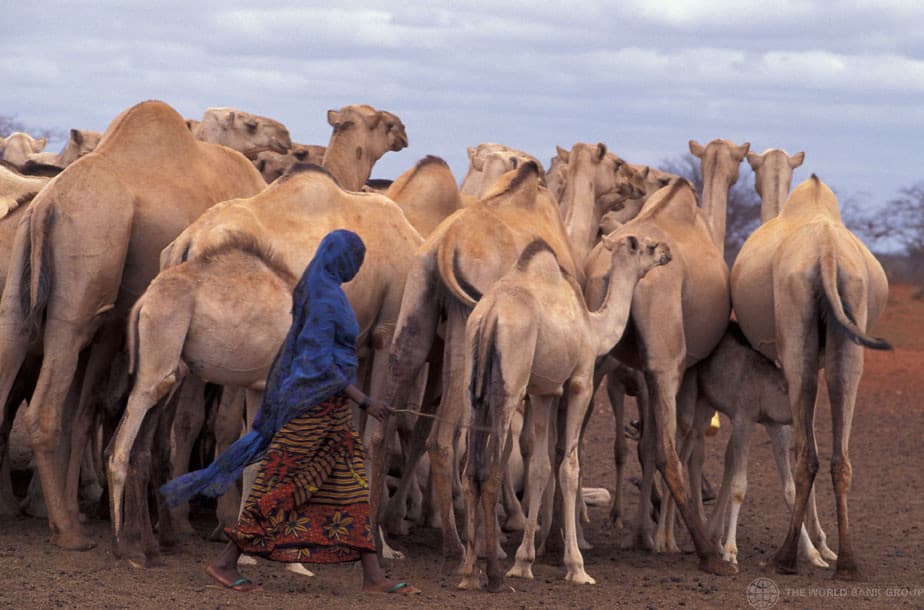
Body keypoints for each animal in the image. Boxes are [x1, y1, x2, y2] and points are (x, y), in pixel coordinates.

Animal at [0, 100, 267, 551]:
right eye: (250, 124)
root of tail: (45, 205)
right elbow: (210, 420)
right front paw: (200, 522)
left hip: (23, 287)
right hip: (81, 280)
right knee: (46, 405)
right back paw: (68, 530)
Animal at [458, 234, 671, 591]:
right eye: (647, 245)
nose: (668, 252)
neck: (593, 327)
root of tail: (490, 316)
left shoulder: (544, 392)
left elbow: (540, 468)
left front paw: (525, 562)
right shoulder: (581, 382)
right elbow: (569, 467)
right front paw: (576, 567)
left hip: (474, 390)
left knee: (471, 470)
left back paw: (468, 573)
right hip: (509, 387)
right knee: (490, 471)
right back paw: (494, 577)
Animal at [730, 175, 890, 580]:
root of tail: (827, 254)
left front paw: (816, 547)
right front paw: (822, 547)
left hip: (795, 323)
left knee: (806, 454)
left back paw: (785, 557)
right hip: (851, 320)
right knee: (838, 455)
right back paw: (847, 563)